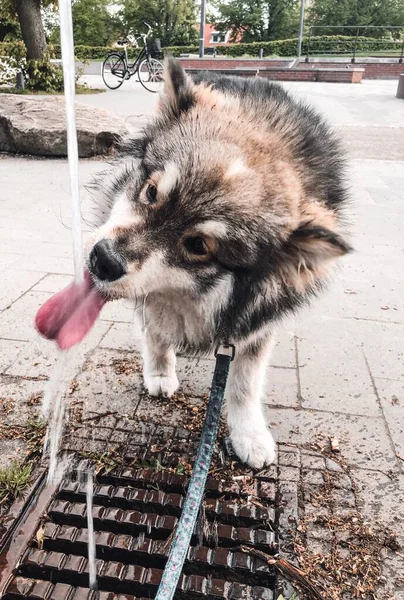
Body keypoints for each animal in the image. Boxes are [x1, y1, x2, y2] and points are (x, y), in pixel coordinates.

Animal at [87, 58, 352, 468]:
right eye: (151, 191)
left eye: (198, 245)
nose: (102, 261)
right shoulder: (151, 295)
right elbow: (155, 329)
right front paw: (159, 371)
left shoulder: (255, 323)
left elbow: (244, 383)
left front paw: (249, 435)